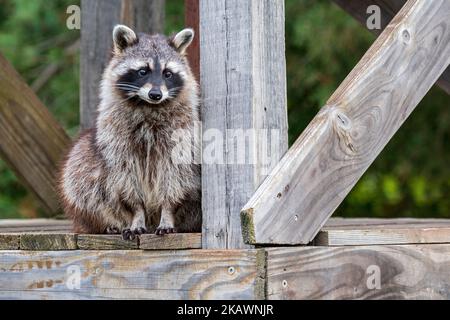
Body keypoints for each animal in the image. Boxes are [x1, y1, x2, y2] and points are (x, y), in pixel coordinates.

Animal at [58, 25, 200, 240]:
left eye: (167, 73)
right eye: (142, 71)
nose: (156, 94)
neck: (149, 107)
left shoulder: (182, 139)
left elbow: (175, 176)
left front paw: (167, 213)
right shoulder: (116, 140)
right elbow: (126, 181)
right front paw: (137, 215)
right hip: (87, 159)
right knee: (80, 173)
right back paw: (106, 224)